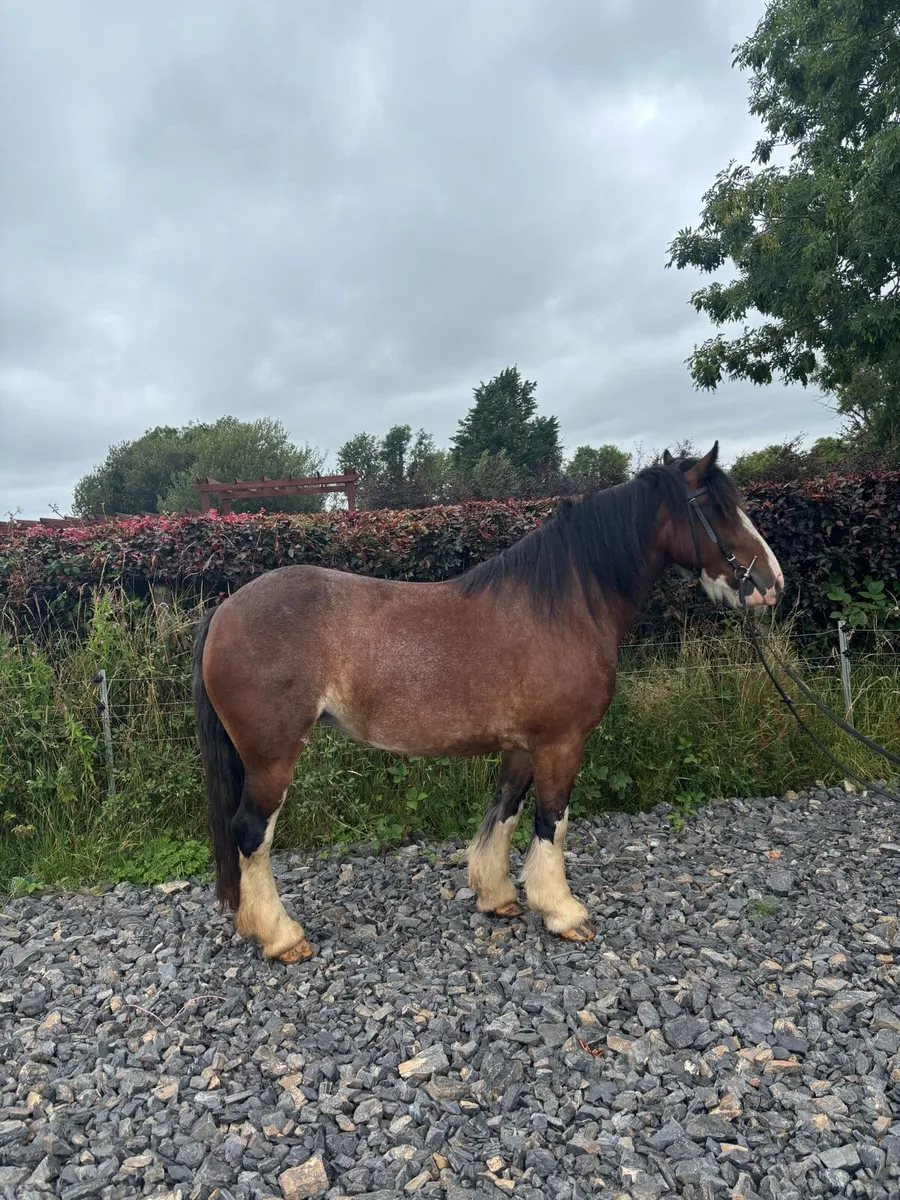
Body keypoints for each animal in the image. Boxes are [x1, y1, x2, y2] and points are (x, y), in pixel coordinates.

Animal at [192, 441, 783, 962]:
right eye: (717, 507)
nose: (772, 583)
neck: (564, 605)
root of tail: (225, 611)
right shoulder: (561, 743)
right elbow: (552, 822)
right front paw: (563, 912)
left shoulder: (521, 745)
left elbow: (505, 813)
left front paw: (498, 898)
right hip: (272, 758)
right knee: (252, 834)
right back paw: (282, 937)